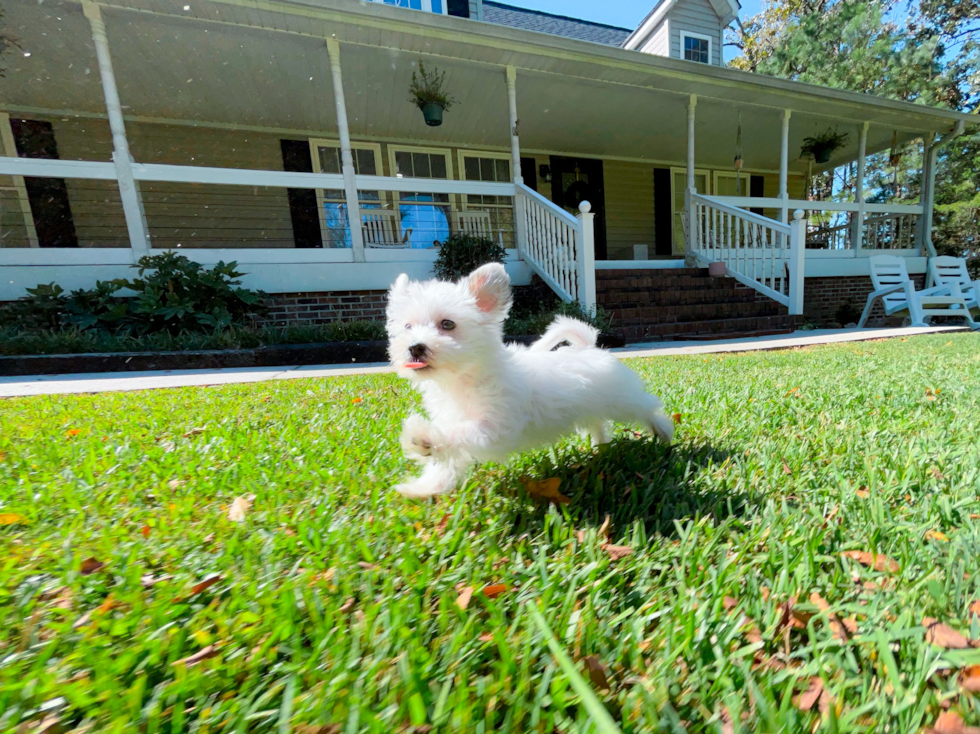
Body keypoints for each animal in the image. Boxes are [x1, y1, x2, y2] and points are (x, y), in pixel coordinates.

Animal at [384, 262, 672, 498]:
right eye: (407, 327)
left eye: (447, 324)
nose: (415, 347)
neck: (463, 379)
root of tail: (588, 347)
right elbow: (445, 461)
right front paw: (424, 487)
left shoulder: (493, 428)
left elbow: (457, 433)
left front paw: (422, 437)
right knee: (598, 422)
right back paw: (601, 447)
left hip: (622, 400)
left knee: (646, 407)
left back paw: (663, 431)